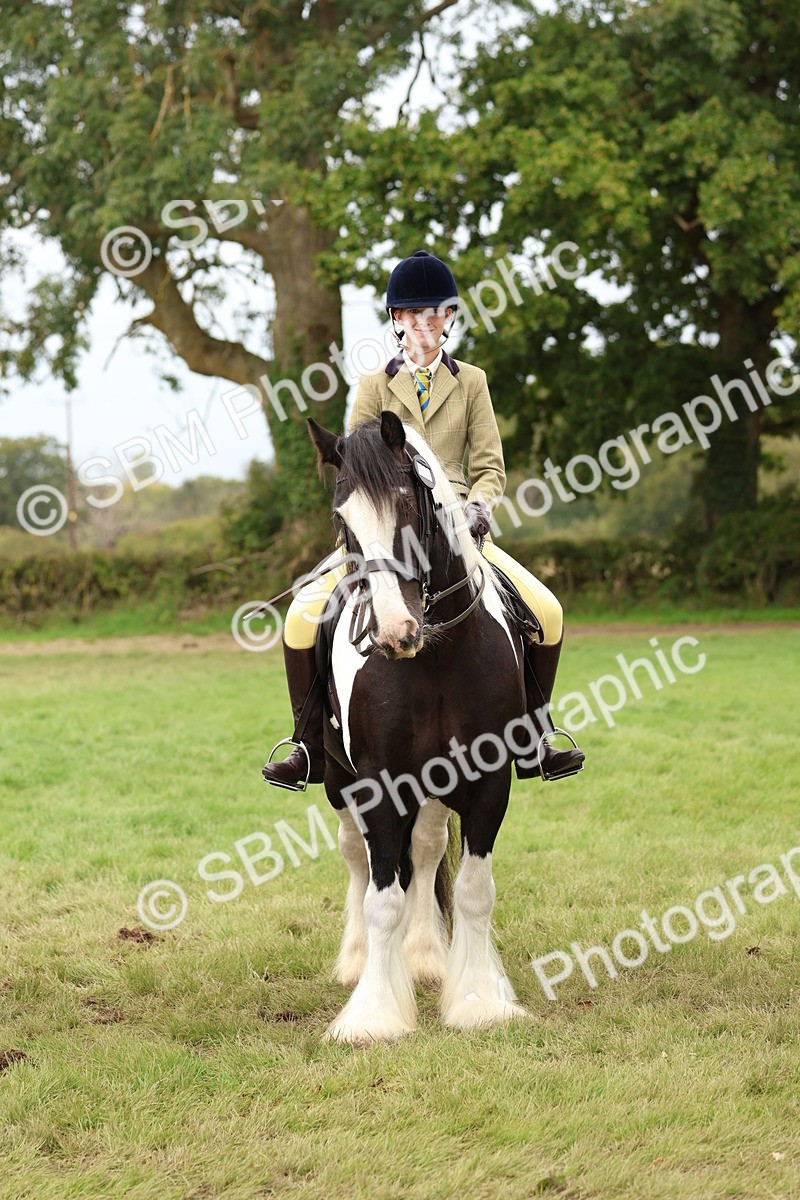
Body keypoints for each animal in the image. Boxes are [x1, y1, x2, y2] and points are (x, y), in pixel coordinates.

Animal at [307, 410, 532, 1044]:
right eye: (342, 520)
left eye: (408, 503)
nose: (392, 632)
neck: (435, 655)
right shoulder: (378, 784)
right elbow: (382, 895)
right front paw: (374, 1015)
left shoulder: (490, 781)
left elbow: (475, 891)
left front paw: (479, 1001)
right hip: (336, 779)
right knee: (357, 858)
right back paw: (359, 960)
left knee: (427, 851)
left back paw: (426, 955)